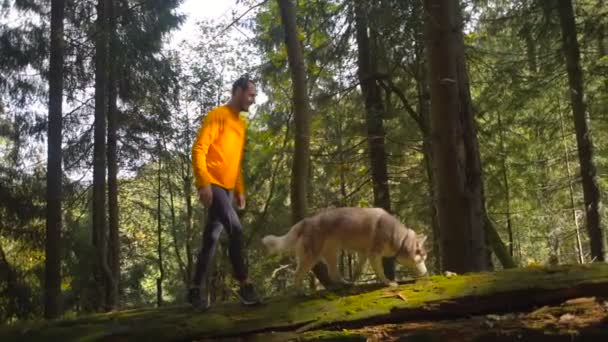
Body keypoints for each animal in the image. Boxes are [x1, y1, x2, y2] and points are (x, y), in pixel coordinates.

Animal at [262, 206, 428, 292]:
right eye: (422, 258)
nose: (427, 273)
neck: (401, 238)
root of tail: (305, 221)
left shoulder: (364, 254)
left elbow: (358, 271)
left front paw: (354, 280)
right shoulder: (374, 255)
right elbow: (381, 272)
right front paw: (388, 282)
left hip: (332, 253)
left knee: (333, 274)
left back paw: (344, 283)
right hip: (311, 257)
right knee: (297, 274)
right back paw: (300, 292)